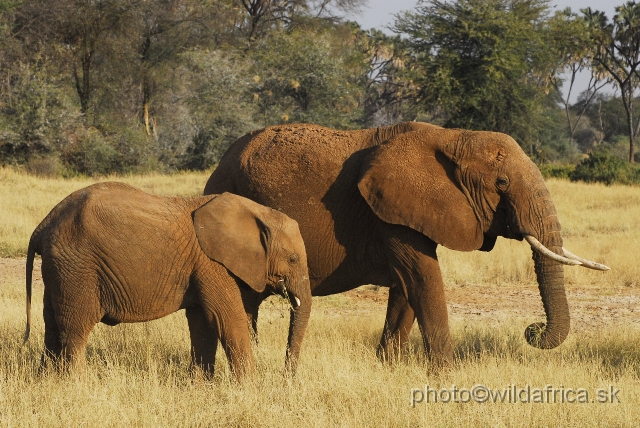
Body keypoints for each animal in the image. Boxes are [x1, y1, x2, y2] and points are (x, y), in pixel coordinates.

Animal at [25, 182, 312, 380]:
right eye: (293, 259)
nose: (286, 379)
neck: (257, 212)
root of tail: (43, 225)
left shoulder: (202, 267)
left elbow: (202, 322)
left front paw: (199, 386)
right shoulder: (212, 263)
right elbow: (226, 318)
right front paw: (250, 387)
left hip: (60, 270)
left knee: (52, 326)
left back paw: (46, 382)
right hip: (77, 268)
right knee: (76, 329)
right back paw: (79, 384)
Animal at [204, 123, 604, 368]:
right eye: (502, 184)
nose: (532, 329)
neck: (453, 137)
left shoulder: (405, 211)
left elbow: (406, 288)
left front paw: (387, 367)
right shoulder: (388, 212)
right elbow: (423, 278)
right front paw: (446, 380)